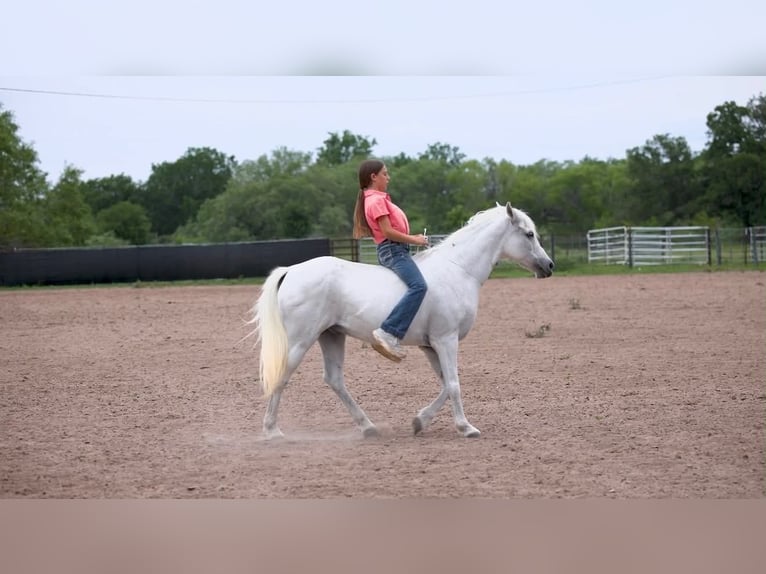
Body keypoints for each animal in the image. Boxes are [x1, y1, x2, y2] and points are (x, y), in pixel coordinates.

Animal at [249, 202, 554, 439]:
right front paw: (466, 428)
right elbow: (454, 384)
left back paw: (368, 427)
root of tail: (291, 271)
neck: (458, 270)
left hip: (332, 335)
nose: (549, 266)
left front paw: (420, 421)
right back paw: (272, 430)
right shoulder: (446, 340)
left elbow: (445, 384)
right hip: (300, 340)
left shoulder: (431, 345)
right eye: (529, 234)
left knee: (334, 379)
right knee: (283, 376)